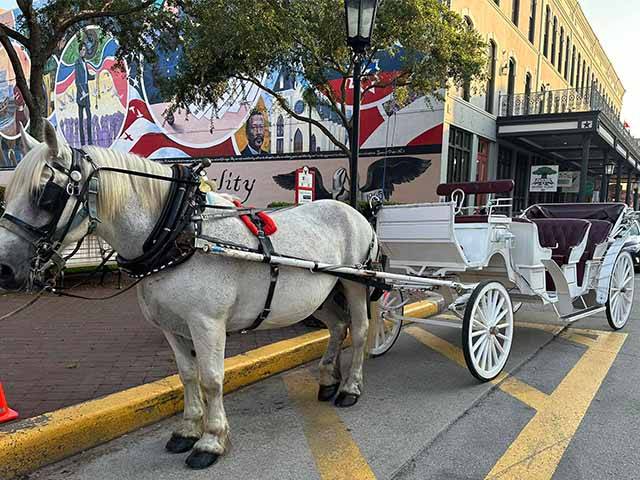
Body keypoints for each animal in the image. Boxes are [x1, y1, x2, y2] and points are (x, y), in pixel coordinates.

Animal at [0, 123, 378, 468]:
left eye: (45, 194)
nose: (4, 268)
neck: (179, 233)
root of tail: (353, 211)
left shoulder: (206, 324)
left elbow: (211, 379)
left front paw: (211, 441)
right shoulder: (171, 326)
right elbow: (188, 375)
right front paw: (187, 431)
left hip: (355, 284)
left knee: (359, 331)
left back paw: (350, 389)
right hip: (322, 295)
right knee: (337, 327)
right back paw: (328, 380)